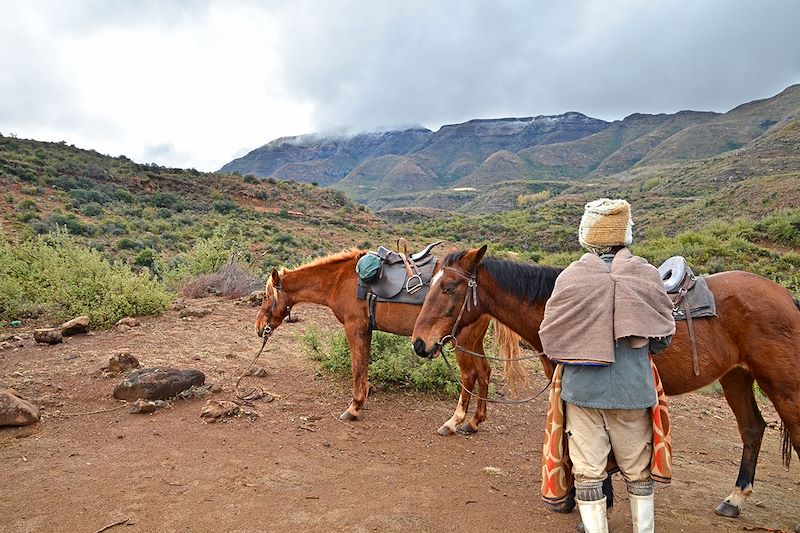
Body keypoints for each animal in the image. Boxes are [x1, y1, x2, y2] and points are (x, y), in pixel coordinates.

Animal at [253, 249, 520, 432]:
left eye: (266, 296)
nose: (258, 327)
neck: (341, 280)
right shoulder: (366, 330)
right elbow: (364, 365)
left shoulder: (354, 328)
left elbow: (357, 366)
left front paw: (354, 407)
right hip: (473, 342)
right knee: (484, 371)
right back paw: (474, 422)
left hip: (462, 342)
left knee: (469, 375)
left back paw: (453, 422)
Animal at [412, 246, 800, 520]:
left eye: (449, 287)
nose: (419, 343)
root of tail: (785, 297)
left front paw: (582, 500)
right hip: (736, 376)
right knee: (752, 428)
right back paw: (734, 499)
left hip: (783, 386)